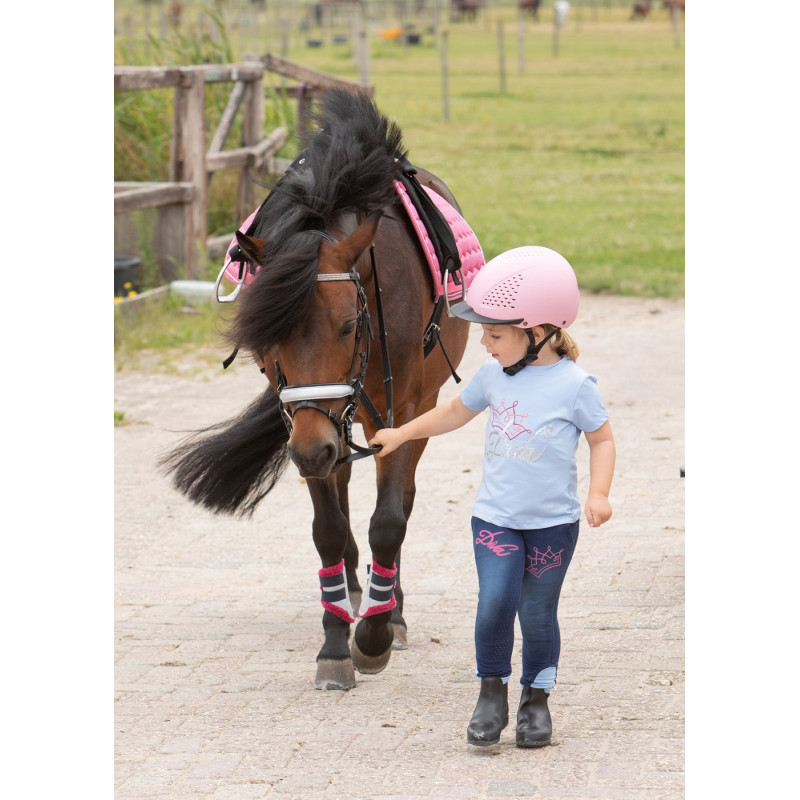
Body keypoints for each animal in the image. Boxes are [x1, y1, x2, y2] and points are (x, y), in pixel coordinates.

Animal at [160, 88, 474, 691]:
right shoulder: (305, 420)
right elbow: (328, 527)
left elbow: (389, 519)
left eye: (349, 325)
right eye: (266, 333)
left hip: (402, 408)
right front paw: (334, 644)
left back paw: (389, 607)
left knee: (399, 498)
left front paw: (374, 635)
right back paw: (355, 591)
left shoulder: (398, 408)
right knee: (346, 481)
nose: (311, 449)